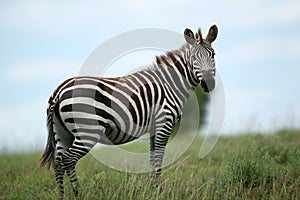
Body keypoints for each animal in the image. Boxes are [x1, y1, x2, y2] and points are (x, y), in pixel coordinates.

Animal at [39, 24, 218, 198]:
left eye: (213, 55)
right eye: (194, 58)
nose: (208, 83)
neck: (170, 84)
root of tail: (58, 91)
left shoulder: (154, 127)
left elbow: (153, 158)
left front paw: (153, 188)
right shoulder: (164, 122)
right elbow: (159, 158)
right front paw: (159, 191)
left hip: (62, 132)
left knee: (58, 162)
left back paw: (62, 196)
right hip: (88, 130)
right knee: (69, 160)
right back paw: (78, 194)